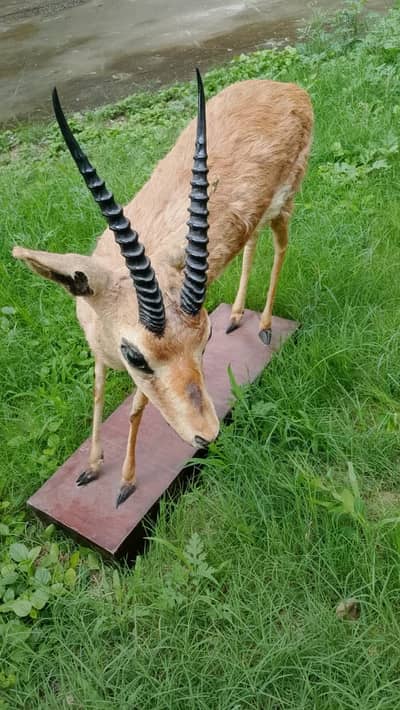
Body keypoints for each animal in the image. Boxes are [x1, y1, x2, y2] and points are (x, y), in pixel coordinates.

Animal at [13, 70, 313, 507]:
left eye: (204, 340)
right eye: (135, 356)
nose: (208, 434)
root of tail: (288, 89)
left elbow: (136, 408)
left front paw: (125, 483)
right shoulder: (101, 347)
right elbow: (98, 394)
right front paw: (91, 467)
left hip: (285, 204)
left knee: (280, 247)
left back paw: (265, 327)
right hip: (256, 217)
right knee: (252, 241)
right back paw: (238, 315)